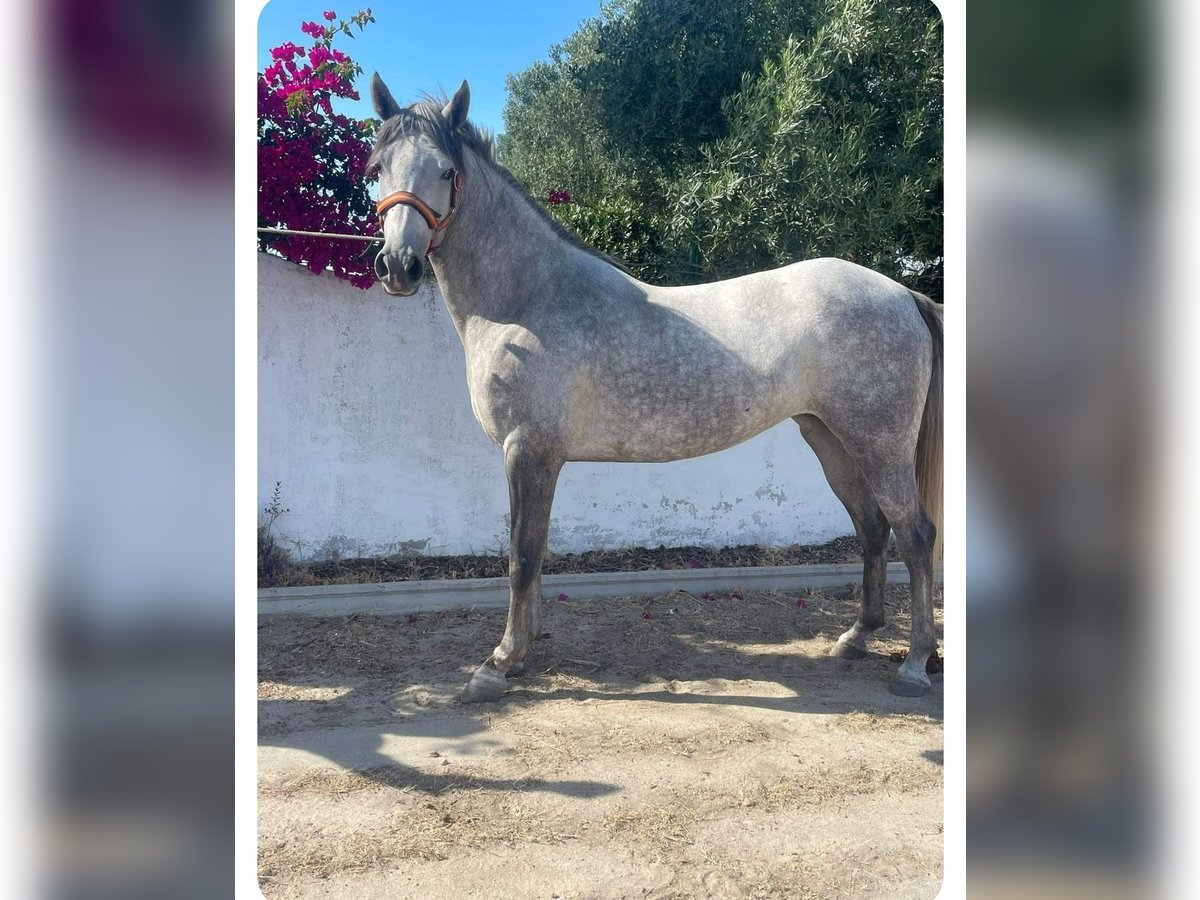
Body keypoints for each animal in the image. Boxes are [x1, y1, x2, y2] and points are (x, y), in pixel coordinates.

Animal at [365, 75, 943, 702]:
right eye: (377, 167)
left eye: (446, 171)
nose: (398, 266)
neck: (527, 300)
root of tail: (901, 293)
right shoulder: (537, 457)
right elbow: (535, 555)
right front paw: (525, 650)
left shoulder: (528, 450)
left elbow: (521, 555)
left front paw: (499, 662)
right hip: (831, 440)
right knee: (872, 527)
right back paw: (856, 637)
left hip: (879, 444)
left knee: (915, 534)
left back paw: (915, 663)